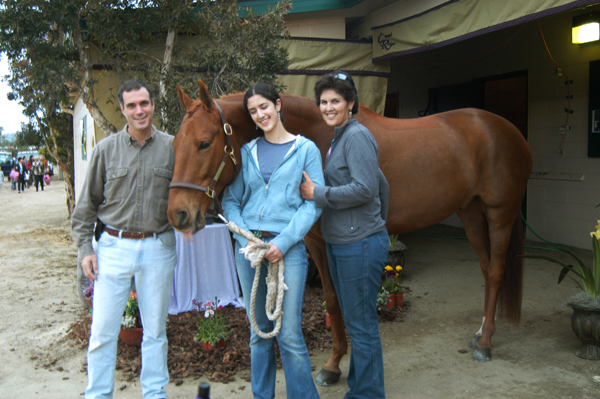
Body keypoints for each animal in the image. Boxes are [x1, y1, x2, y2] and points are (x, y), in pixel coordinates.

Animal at [166, 80, 532, 382]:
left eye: (204, 143)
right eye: (176, 144)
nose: (178, 214)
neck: (320, 134)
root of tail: (508, 130)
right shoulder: (315, 242)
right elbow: (332, 300)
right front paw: (333, 364)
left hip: (499, 214)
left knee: (496, 271)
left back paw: (485, 342)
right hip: (471, 213)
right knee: (486, 267)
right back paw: (481, 332)